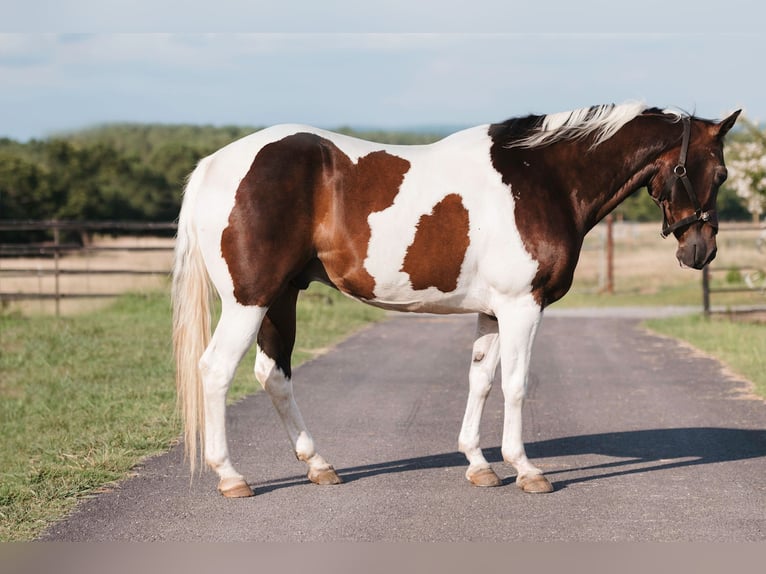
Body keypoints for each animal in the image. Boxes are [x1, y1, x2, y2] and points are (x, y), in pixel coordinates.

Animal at [172, 103, 736, 500]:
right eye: (719, 174)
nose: (701, 251)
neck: (543, 178)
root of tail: (214, 165)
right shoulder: (522, 306)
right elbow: (515, 386)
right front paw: (526, 469)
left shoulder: (492, 311)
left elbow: (480, 381)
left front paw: (480, 466)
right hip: (250, 300)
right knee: (216, 370)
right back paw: (231, 476)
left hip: (281, 297)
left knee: (273, 374)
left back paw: (318, 465)